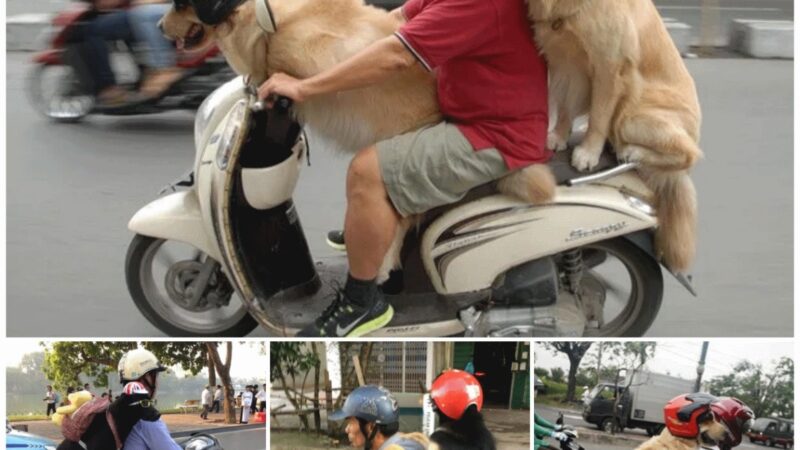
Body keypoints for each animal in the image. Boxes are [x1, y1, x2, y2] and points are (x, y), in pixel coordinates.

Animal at [528, 0, 704, 272]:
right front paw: (558, 136)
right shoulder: (564, 60)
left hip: (630, 118)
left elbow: (599, 116)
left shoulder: (609, 65)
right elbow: (566, 106)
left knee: (689, 153)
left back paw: (632, 151)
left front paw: (588, 153)